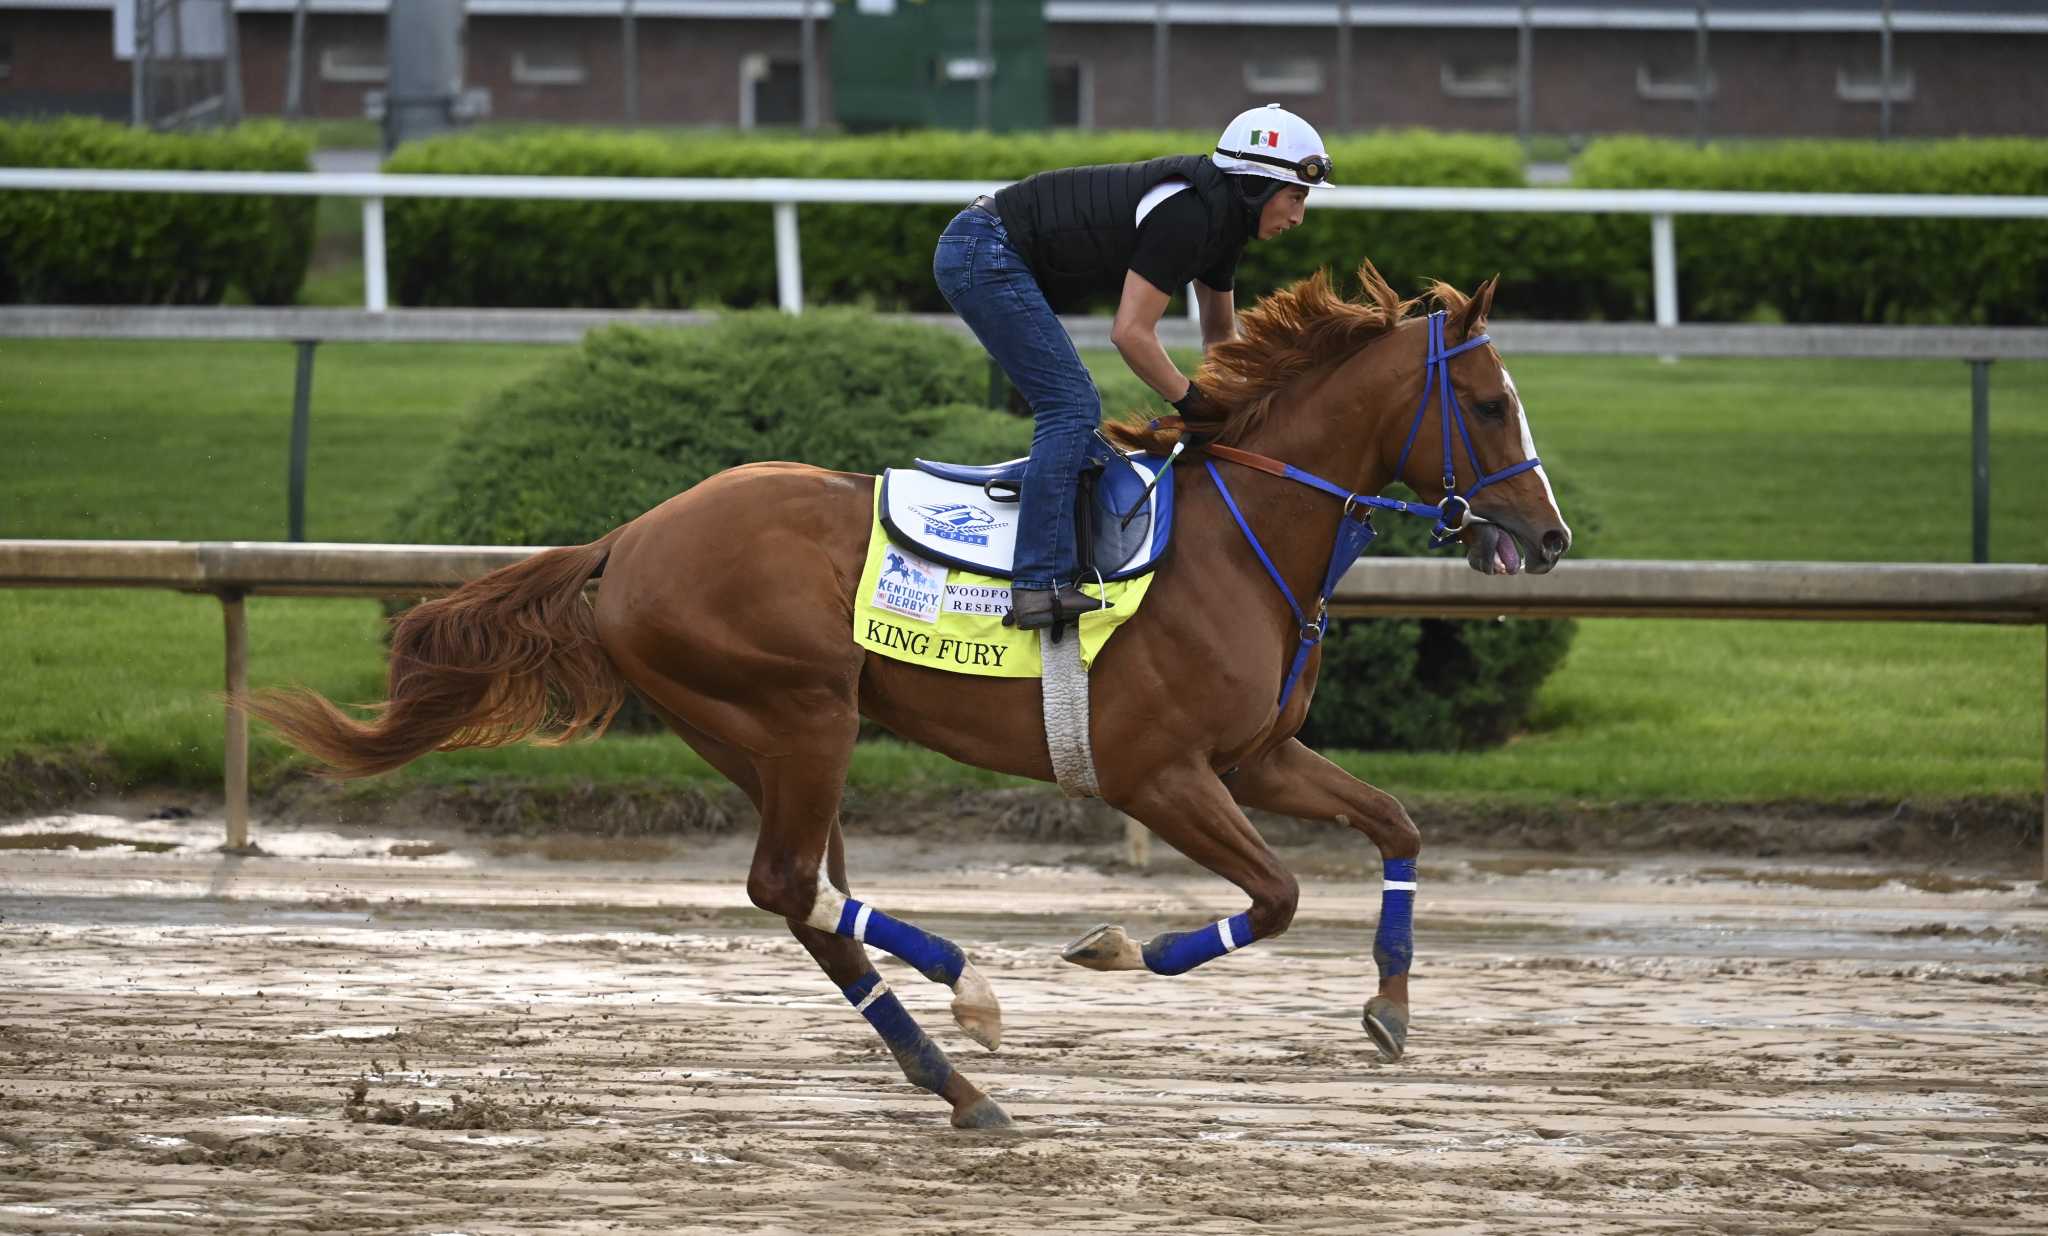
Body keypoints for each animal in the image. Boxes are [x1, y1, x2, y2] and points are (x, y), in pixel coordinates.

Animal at [247, 260, 1572, 1129]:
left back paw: (955, 1053)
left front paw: (1390, 1007)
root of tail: (627, 540)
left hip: (756, 731)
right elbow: (1282, 894)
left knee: (808, 901)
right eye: (1489, 404)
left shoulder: (1257, 756)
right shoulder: (1157, 772)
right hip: (799, 713)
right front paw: (1121, 946)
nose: (1549, 537)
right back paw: (964, 1028)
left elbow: (1396, 824)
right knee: (789, 887)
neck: (1240, 540)